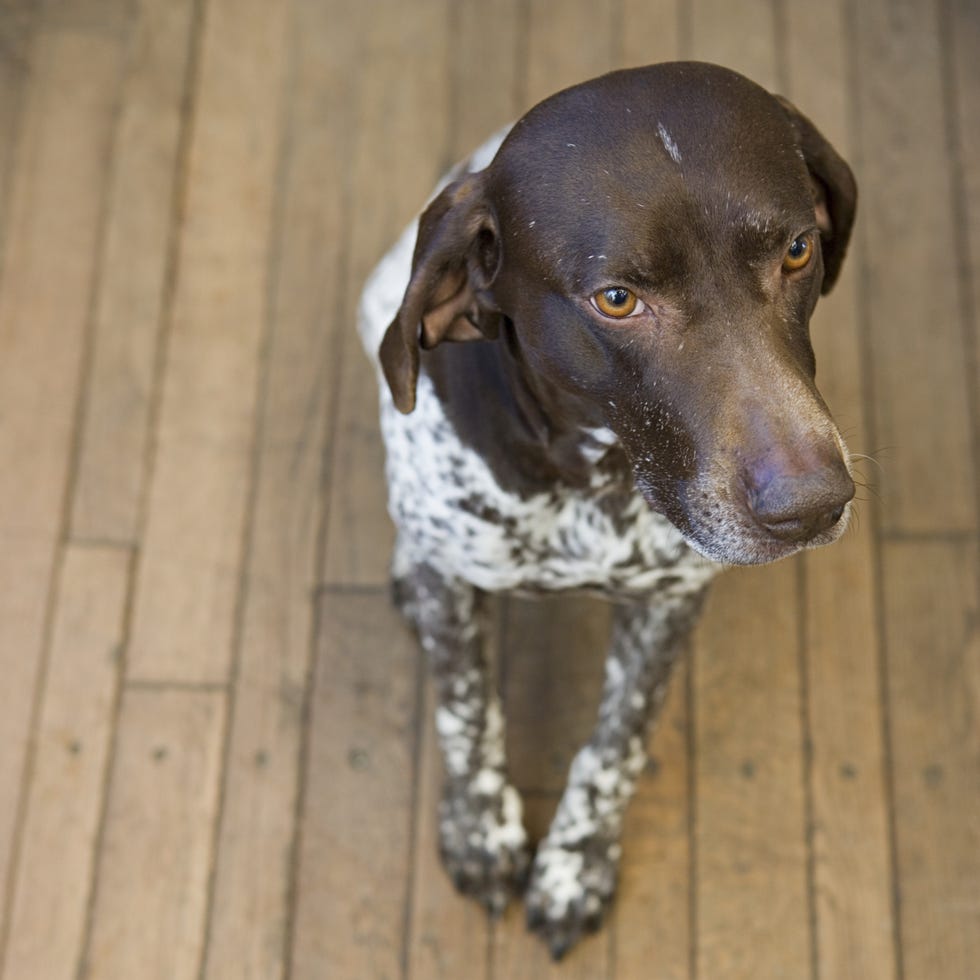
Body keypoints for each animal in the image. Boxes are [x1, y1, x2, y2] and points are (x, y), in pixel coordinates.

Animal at [358, 61, 856, 956]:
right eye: (617, 300)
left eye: (797, 251)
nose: (811, 506)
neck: (593, 480)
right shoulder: (459, 592)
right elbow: (467, 709)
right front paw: (482, 832)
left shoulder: (667, 606)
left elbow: (616, 743)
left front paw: (576, 863)